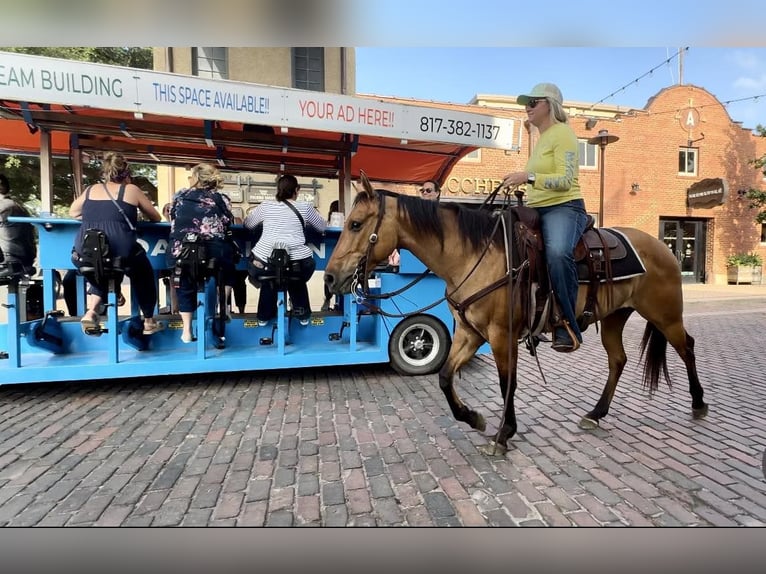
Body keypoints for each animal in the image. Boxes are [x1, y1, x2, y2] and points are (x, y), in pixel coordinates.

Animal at [322, 174, 708, 454]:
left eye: (356, 224)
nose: (329, 278)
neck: (475, 254)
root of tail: (664, 247)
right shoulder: (469, 332)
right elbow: (445, 377)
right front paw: (474, 418)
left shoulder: (500, 334)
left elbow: (508, 382)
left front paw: (503, 433)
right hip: (616, 317)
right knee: (618, 360)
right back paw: (596, 414)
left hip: (665, 315)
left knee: (687, 346)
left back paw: (699, 402)